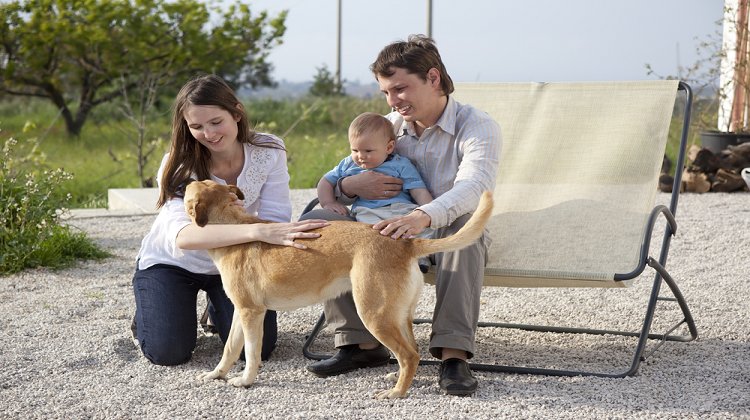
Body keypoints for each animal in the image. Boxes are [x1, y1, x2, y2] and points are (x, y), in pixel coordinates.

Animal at [185, 179, 496, 398]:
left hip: (375, 315)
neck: (234, 230)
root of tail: (404, 243)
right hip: (397, 315)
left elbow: (250, 354)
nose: (177, 181)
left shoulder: (252, 313)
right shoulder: (241, 312)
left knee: (409, 355)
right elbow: (229, 349)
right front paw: (216, 375)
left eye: (188, 187)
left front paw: (246, 380)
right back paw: (396, 379)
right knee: (412, 352)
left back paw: (396, 392)